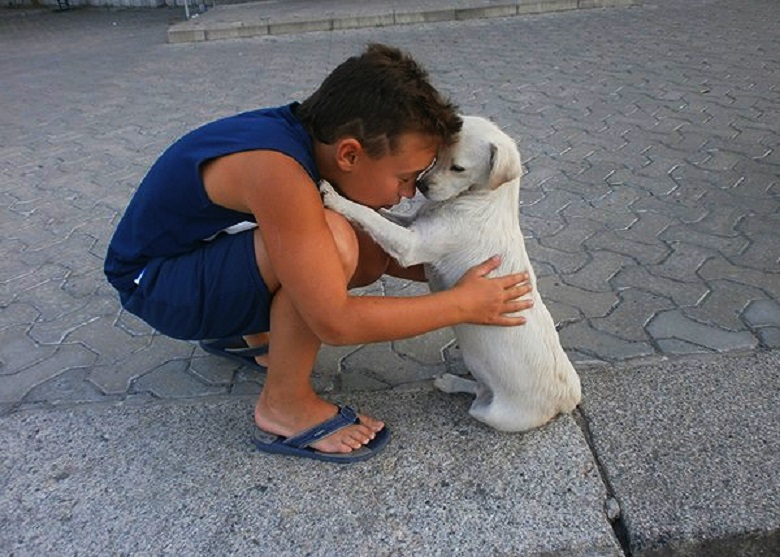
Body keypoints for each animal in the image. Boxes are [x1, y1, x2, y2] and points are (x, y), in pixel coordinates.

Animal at [320, 116, 580, 430]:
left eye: (458, 168)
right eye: (436, 157)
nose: (421, 185)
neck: (481, 200)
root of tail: (566, 400)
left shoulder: (411, 245)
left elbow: (371, 217)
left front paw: (336, 198)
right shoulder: (413, 223)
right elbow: (379, 212)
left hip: (493, 413)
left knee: (479, 394)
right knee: (479, 387)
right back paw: (449, 381)